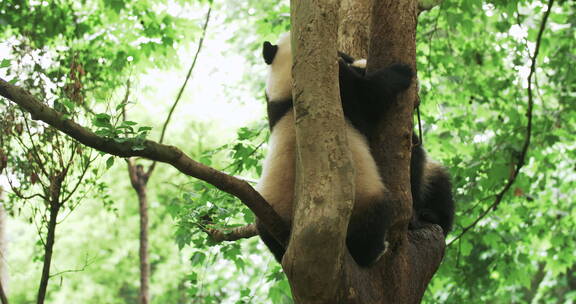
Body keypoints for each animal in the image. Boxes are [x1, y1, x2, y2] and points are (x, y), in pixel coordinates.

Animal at [256, 32, 454, 268]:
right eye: (342, 54)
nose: (351, 57)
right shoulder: (339, 90)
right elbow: (370, 97)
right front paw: (401, 73)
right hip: (364, 198)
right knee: (376, 216)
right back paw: (376, 250)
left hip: (268, 213)